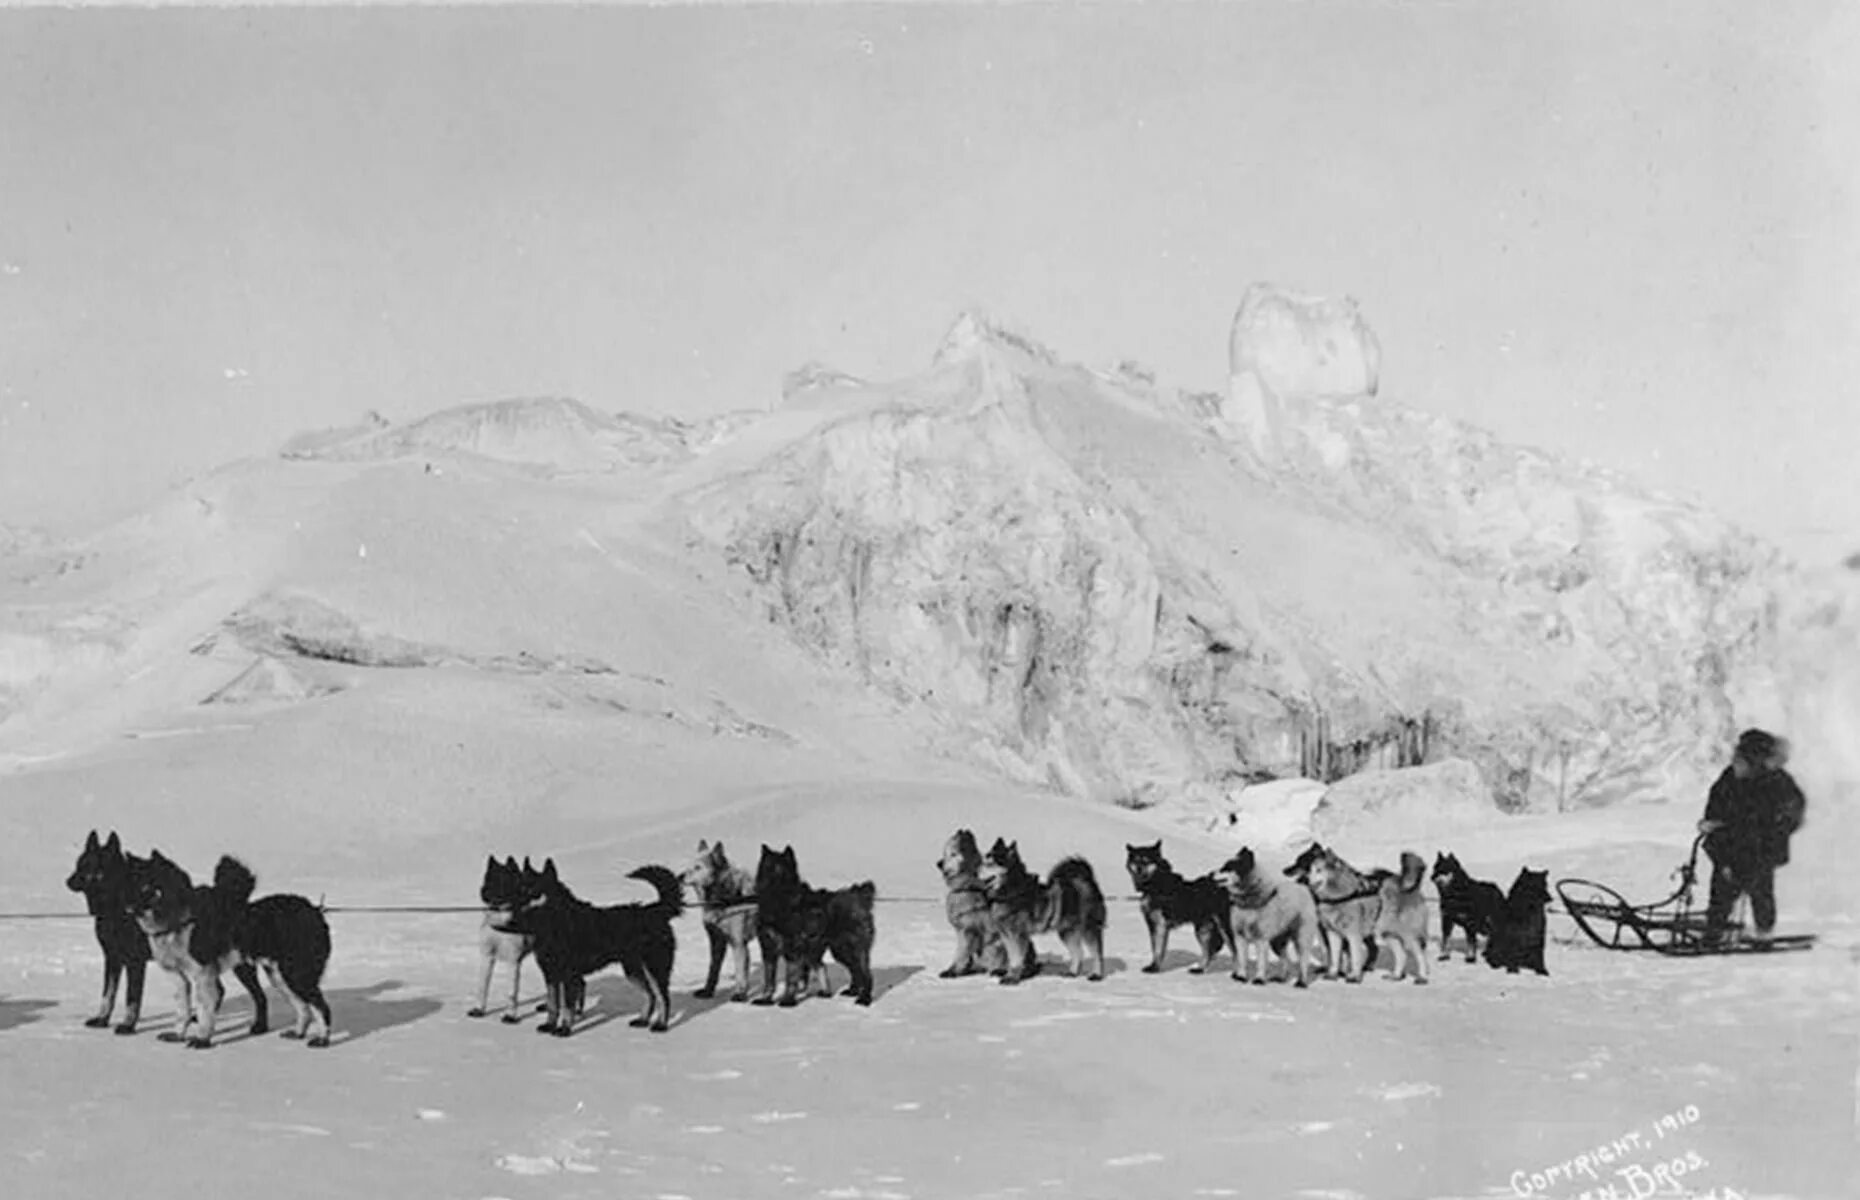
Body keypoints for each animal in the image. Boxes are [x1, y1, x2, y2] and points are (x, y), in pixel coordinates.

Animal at [64, 829, 152, 1034]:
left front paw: (128, 1025)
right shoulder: (112, 958)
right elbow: (108, 994)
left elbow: (132, 997)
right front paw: (102, 1019)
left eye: (90, 866)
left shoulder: (135, 962)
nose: (68, 881)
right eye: (79, 864)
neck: (117, 907)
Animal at [502, 855, 684, 1034]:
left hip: (654, 968)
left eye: (531, 892)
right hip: (633, 970)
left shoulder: (569, 975)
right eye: (517, 891)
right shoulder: (551, 974)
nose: (511, 911)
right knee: (651, 995)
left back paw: (661, 1025)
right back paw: (643, 1020)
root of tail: (655, 910)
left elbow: (567, 1006)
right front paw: (550, 1025)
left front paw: (564, 1029)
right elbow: (553, 1004)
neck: (556, 922)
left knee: (663, 997)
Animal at [751, 848, 874, 1004]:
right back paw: (850, 991)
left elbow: (791, 978)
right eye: (768, 868)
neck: (779, 903)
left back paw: (864, 998)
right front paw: (765, 999)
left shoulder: (793, 950)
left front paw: (787, 1000)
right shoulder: (768, 950)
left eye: (783, 871)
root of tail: (860, 896)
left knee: (865, 973)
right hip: (839, 950)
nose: (771, 884)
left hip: (853, 948)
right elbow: (769, 979)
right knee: (853, 970)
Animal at [1123, 837, 1227, 967]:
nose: (1139, 869)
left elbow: (1158, 949)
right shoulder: (1152, 924)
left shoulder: (1161, 924)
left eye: (1146, 861)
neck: (1156, 884)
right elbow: (1154, 947)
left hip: (1204, 928)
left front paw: (1154, 967)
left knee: (1209, 950)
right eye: (1136, 860)